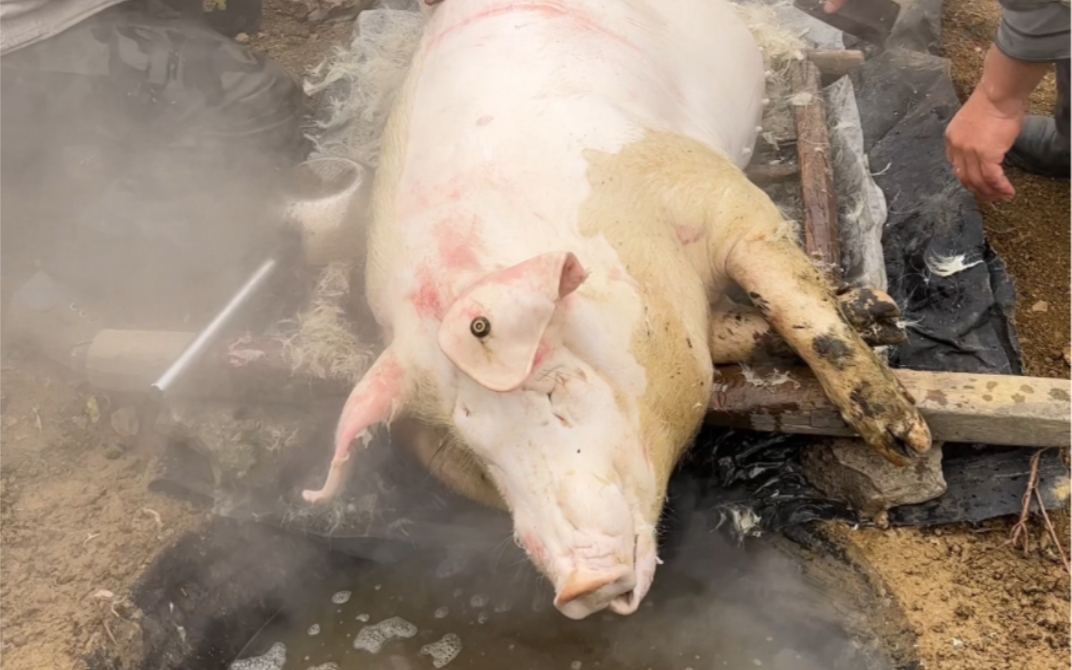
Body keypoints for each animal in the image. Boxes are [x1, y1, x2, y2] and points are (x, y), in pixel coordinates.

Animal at [302, 0, 930, 621]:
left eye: (556, 387)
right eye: (474, 453)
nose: (582, 583)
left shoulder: (711, 191)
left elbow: (793, 299)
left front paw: (905, 439)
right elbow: (737, 330)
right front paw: (872, 315)